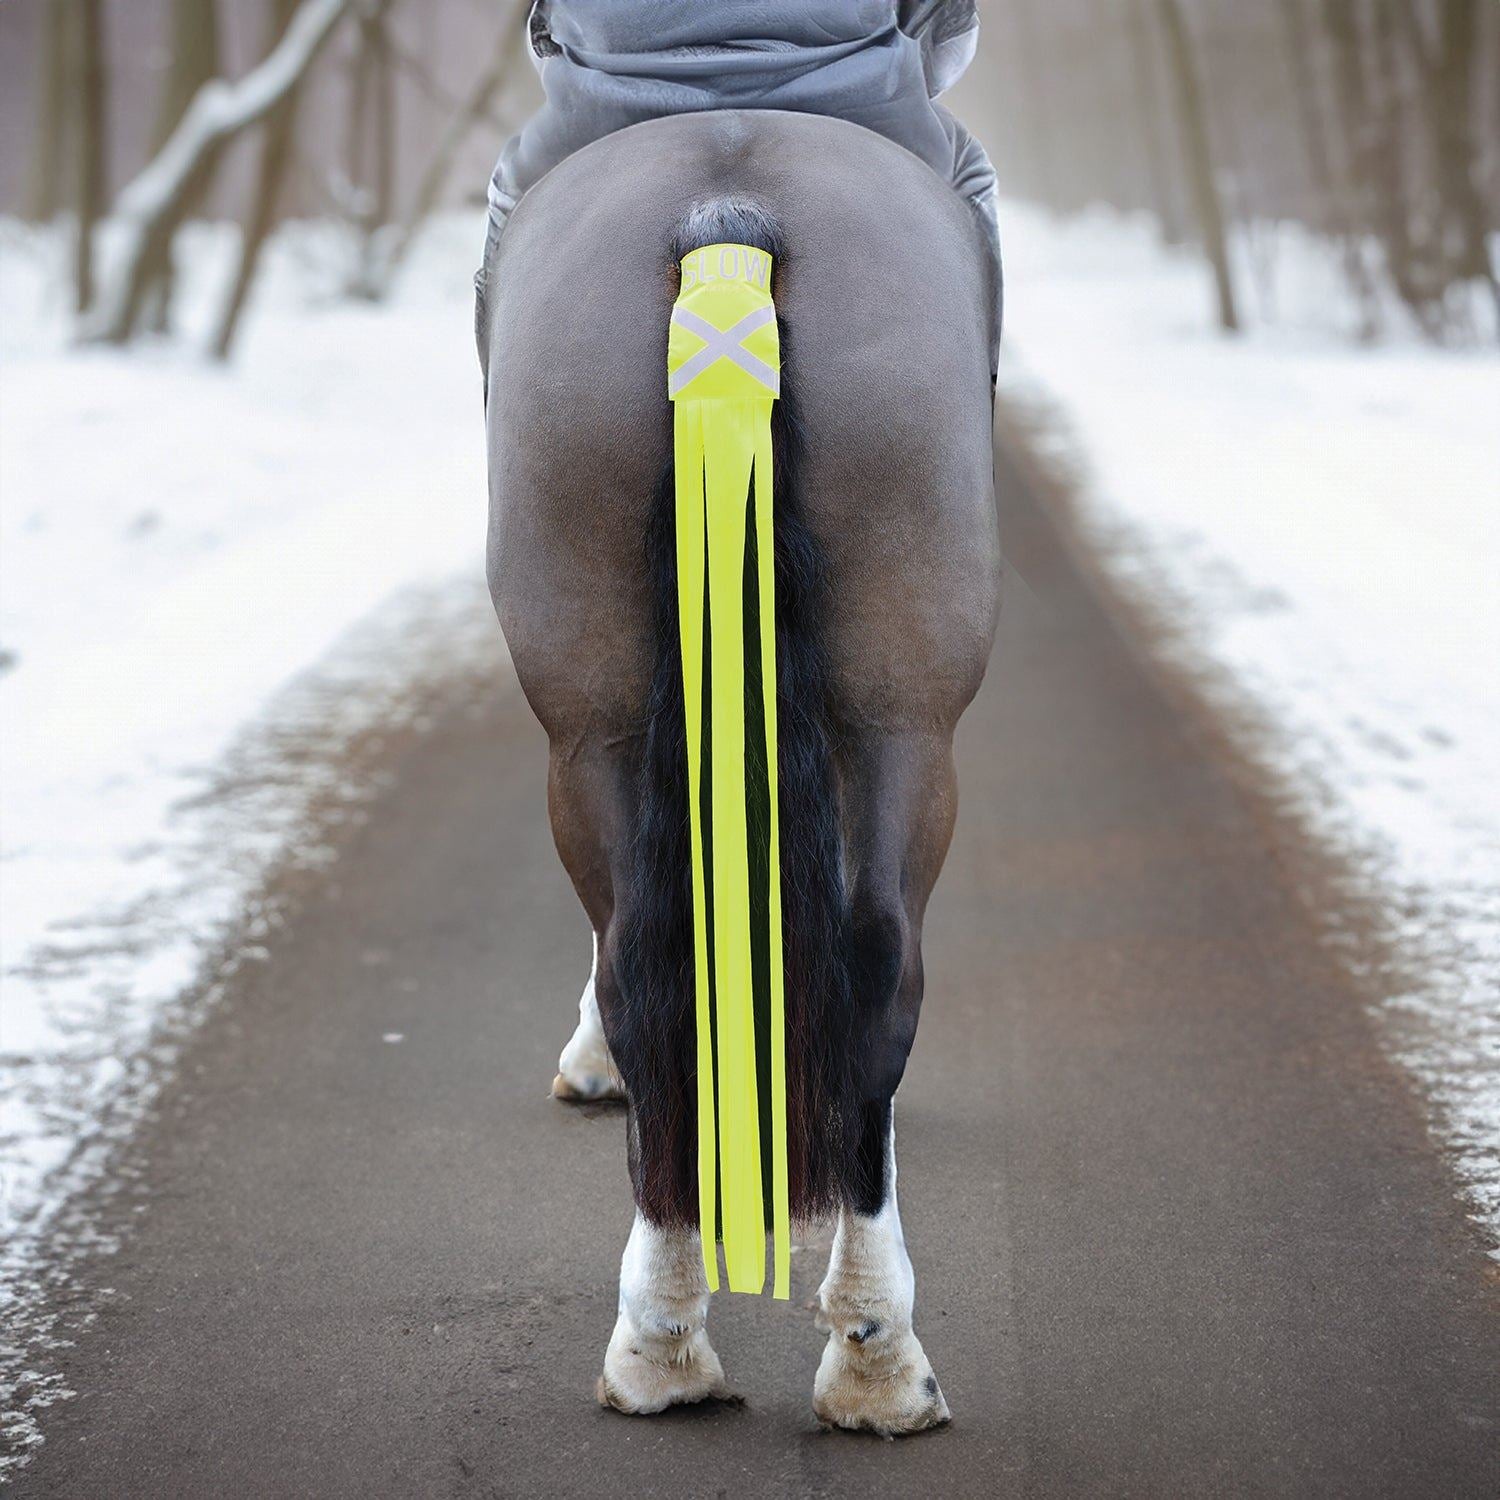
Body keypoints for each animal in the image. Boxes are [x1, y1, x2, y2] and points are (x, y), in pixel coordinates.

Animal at [480, 109, 999, 1436]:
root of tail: (727, 220)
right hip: (903, 715)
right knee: (868, 963)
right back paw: (862, 1359)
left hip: (598, 716)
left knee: (649, 959)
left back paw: (674, 1338)